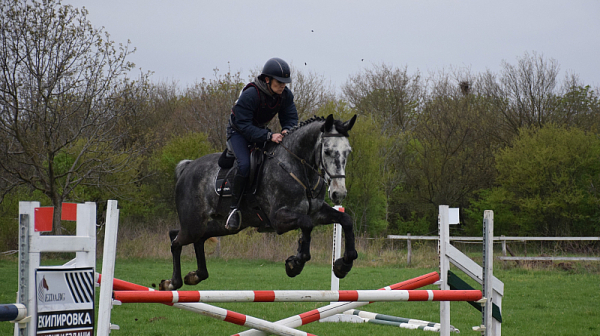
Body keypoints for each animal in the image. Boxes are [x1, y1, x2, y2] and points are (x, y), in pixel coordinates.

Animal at [158, 114, 356, 290]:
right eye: (327, 151)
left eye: (348, 152)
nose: (339, 193)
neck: (297, 168)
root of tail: (187, 168)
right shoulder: (278, 219)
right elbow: (306, 224)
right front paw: (295, 264)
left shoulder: (317, 212)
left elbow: (346, 220)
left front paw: (343, 265)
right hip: (194, 224)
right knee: (175, 240)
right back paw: (171, 283)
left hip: (221, 225)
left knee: (194, 238)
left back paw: (196, 275)